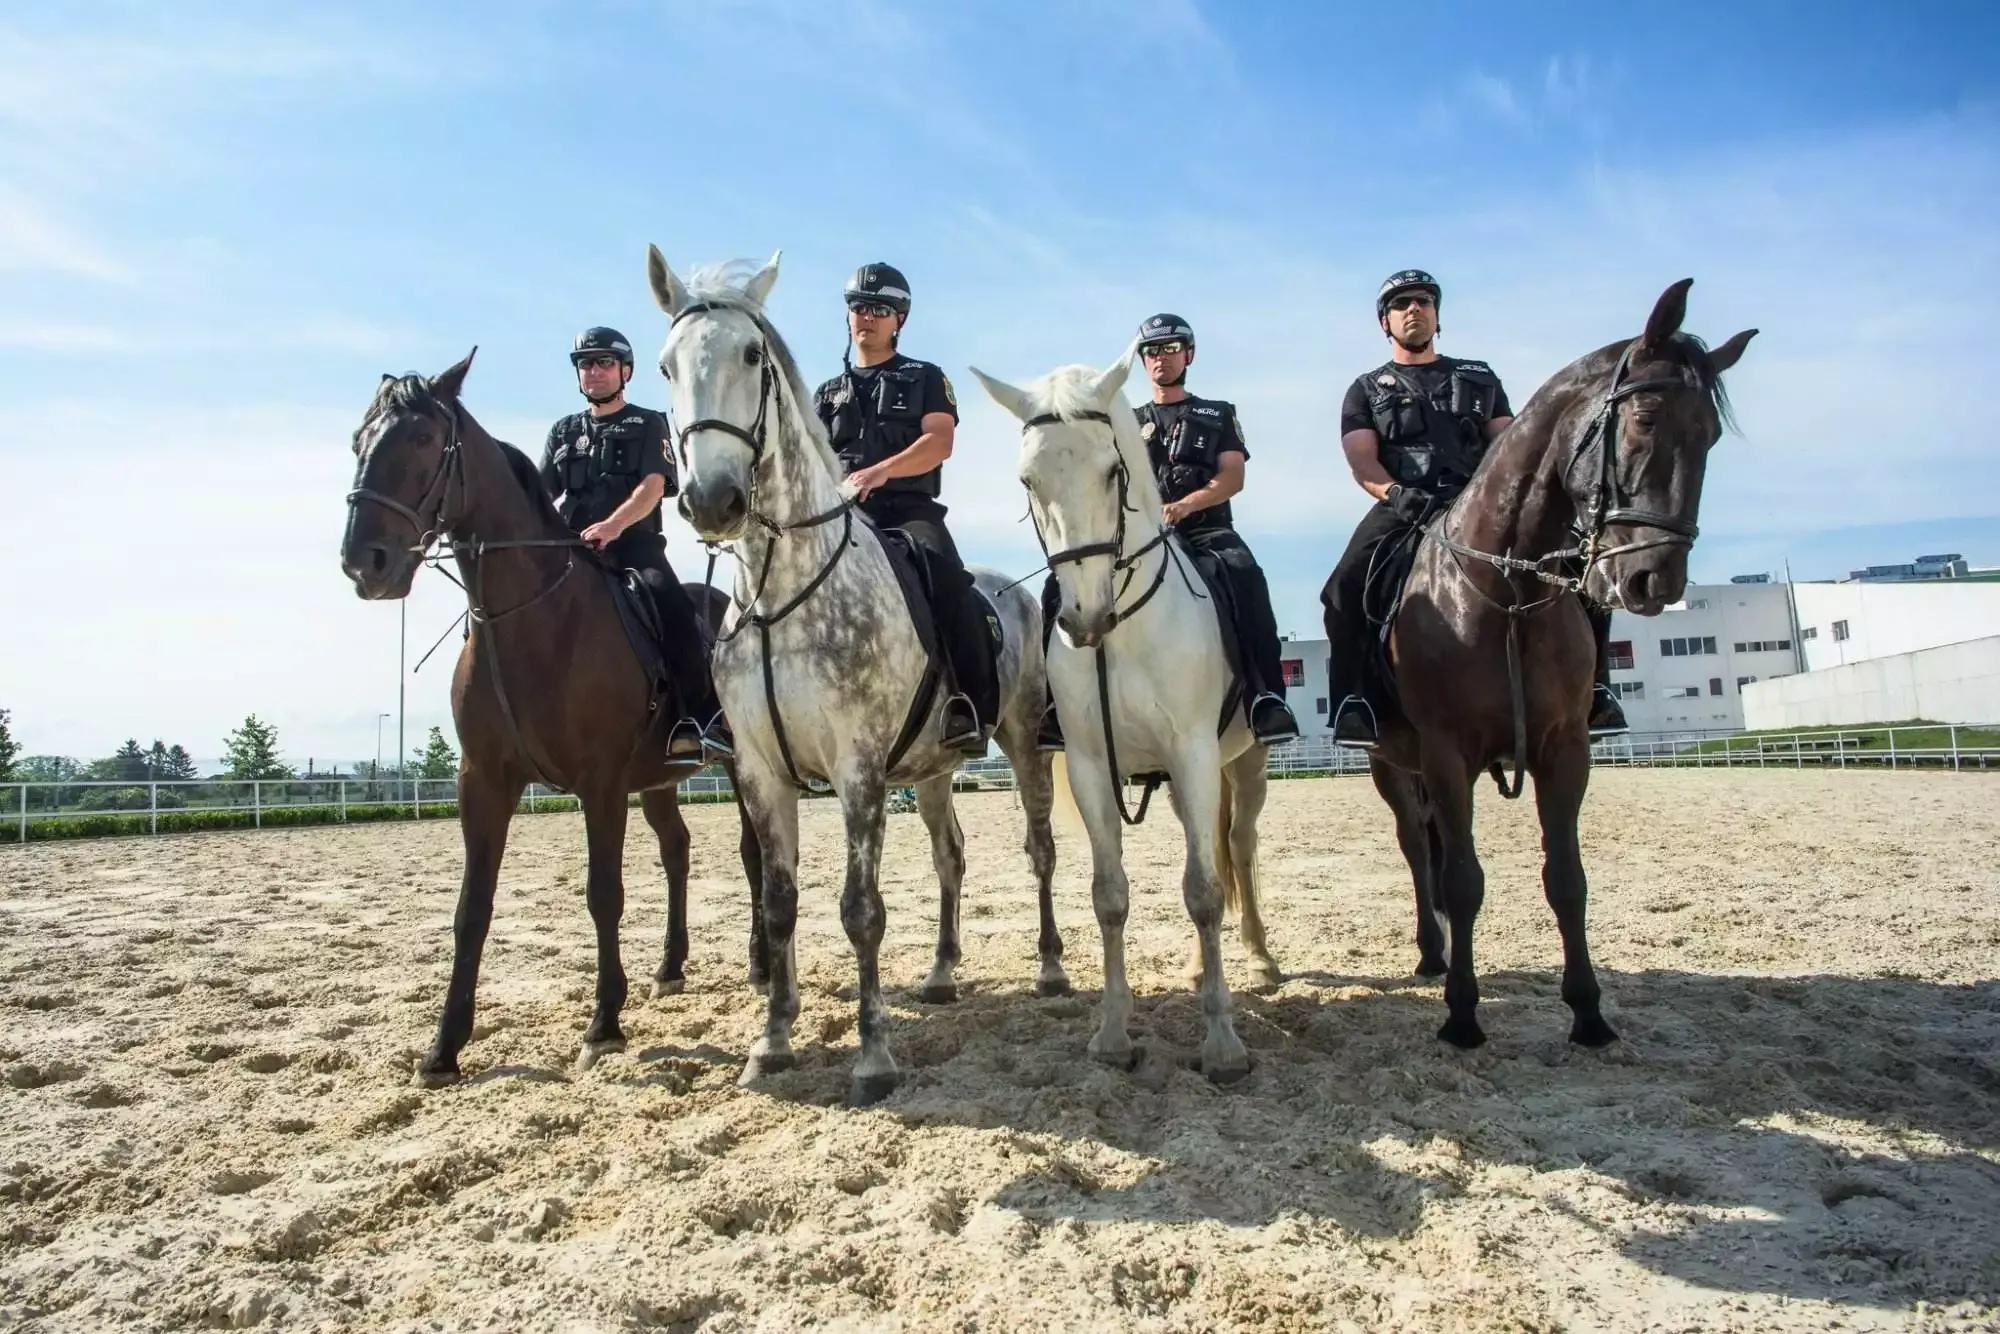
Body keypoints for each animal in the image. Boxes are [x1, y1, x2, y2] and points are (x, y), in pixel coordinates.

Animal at [339, 351, 765, 1084]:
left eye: (421, 439)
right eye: (358, 441)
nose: (365, 563)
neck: (533, 617)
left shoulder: (600, 784)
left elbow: (603, 893)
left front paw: (603, 1024)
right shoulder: (483, 781)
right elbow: (471, 909)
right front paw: (443, 1048)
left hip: (739, 768)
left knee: (753, 852)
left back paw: (763, 964)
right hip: (656, 780)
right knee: (677, 850)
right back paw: (670, 967)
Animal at [644, 250, 1062, 1107]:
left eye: (752, 356)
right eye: (665, 366)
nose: (711, 500)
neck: (781, 593)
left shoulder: (858, 769)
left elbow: (860, 910)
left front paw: (872, 1056)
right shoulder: (761, 773)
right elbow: (778, 906)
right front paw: (771, 1044)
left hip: (1023, 744)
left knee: (1039, 848)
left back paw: (1048, 968)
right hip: (932, 770)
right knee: (951, 855)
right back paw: (941, 974)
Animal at [969, 350, 1281, 1085]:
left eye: (1113, 470)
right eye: (1028, 479)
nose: (1085, 618)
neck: (1125, 635)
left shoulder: (1194, 755)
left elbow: (1203, 891)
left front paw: (1222, 1044)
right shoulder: (1089, 767)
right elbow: (1110, 895)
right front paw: (1112, 1033)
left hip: (1245, 765)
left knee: (1238, 848)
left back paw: (1259, 958)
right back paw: (1199, 968)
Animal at [1358, 278, 1756, 1049]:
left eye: (1711, 436)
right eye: (1644, 418)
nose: (1654, 580)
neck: (1506, 591)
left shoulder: (1564, 747)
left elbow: (1567, 879)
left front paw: (1588, 1012)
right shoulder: (1446, 753)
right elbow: (1463, 881)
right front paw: (1461, 1015)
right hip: (1391, 764)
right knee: (1418, 850)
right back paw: (1431, 953)